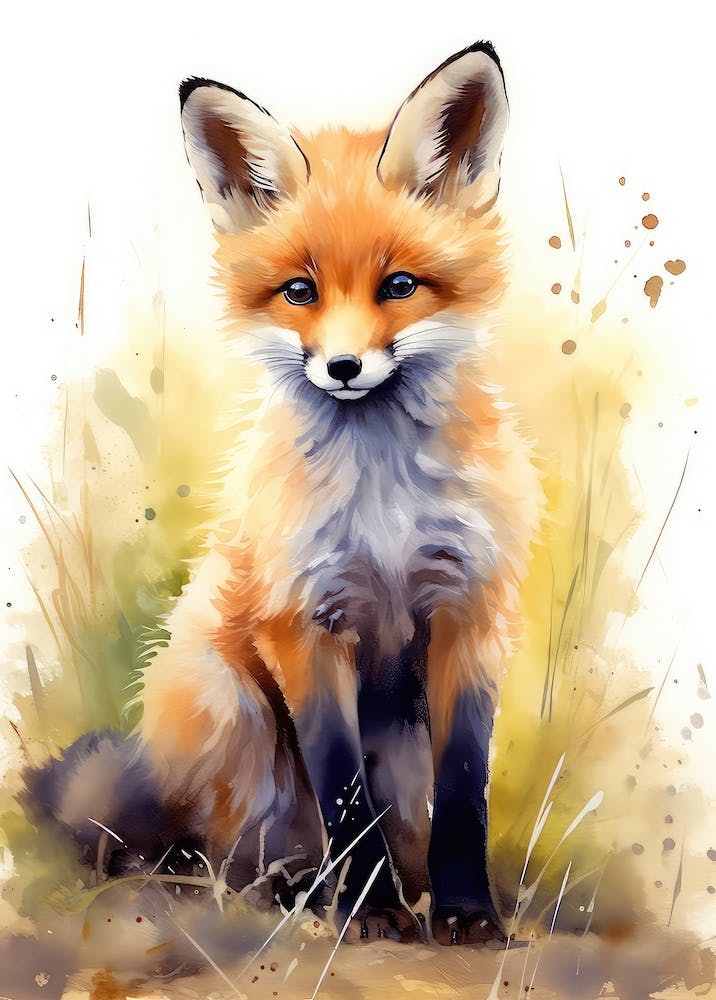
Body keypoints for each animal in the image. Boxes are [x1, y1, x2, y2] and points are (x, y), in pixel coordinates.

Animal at [23, 41, 542, 947]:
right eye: (300, 292)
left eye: (400, 286)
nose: (343, 367)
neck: (384, 503)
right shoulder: (303, 619)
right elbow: (342, 795)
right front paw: (367, 913)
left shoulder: (471, 609)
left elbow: (465, 791)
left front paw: (467, 912)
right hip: (229, 704)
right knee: (233, 851)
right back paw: (300, 890)